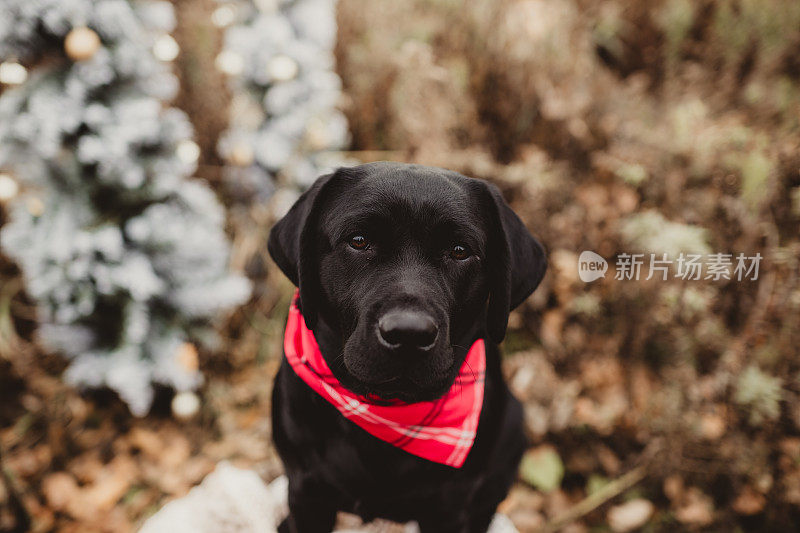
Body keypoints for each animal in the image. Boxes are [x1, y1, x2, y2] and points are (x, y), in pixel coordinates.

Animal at [268, 163, 544, 532]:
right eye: (359, 241)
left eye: (460, 250)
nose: (409, 333)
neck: (385, 414)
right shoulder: (307, 492)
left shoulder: (447, 508)